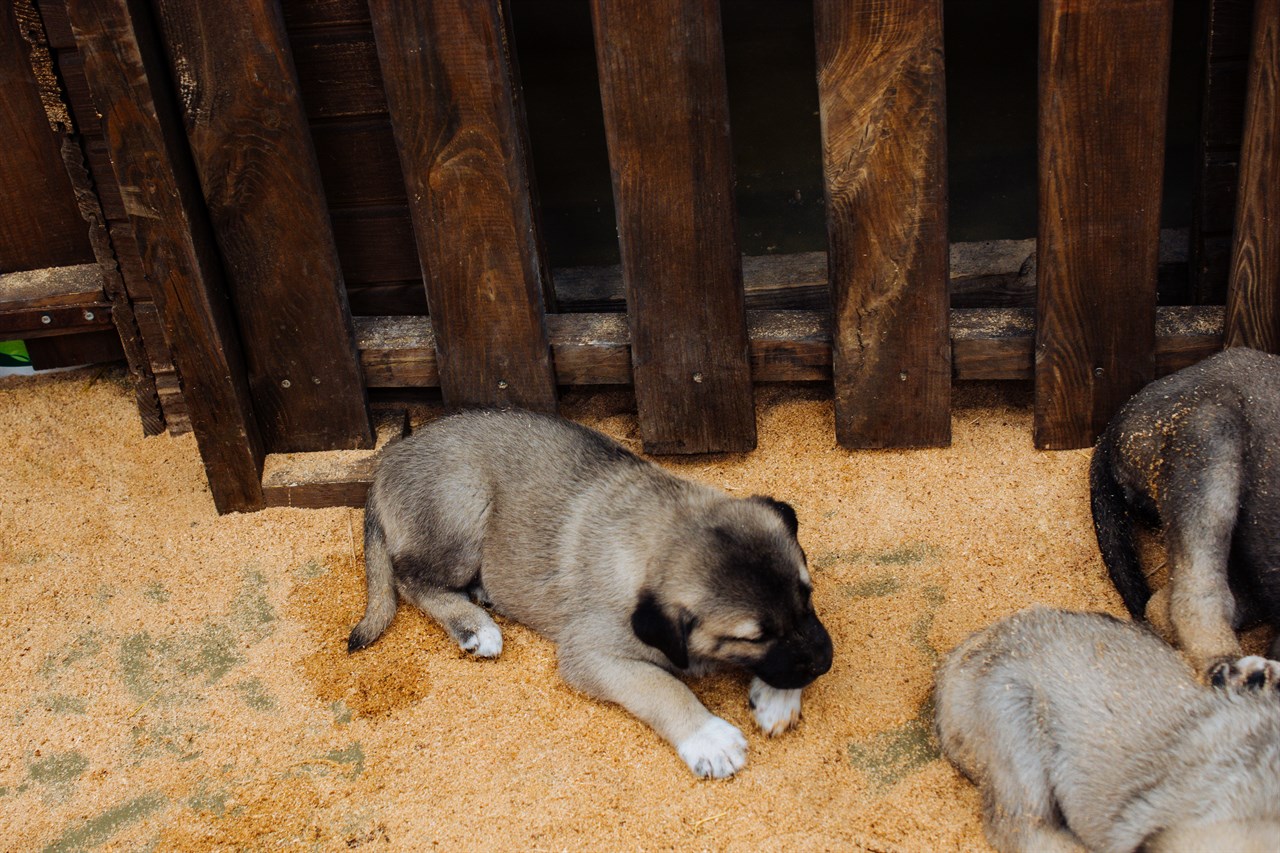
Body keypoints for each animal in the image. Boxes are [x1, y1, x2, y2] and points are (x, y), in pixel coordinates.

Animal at [345, 409, 834, 773]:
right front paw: (709, 738)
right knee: (409, 577)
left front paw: (776, 698)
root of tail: (391, 458)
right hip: (462, 507)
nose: (825, 663)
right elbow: (660, 686)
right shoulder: (592, 655)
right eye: (753, 637)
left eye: (807, 598)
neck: (666, 531)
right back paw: (473, 625)